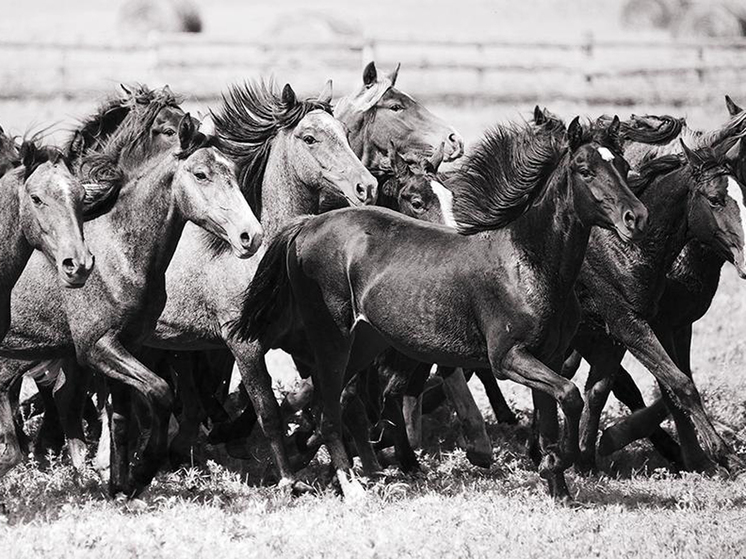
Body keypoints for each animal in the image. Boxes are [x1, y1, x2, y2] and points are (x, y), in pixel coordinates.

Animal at [0, 115, 264, 498]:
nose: (250, 236)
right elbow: (160, 393)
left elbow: (121, 419)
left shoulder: (128, 346)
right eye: (201, 174)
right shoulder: (99, 348)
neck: (120, 255)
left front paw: (120, 487)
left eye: (231, 169)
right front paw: (142, 472)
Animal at [232, 117, 644, 498]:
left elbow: (552, 420)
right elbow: (571, 396)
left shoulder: (549, 357)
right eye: (585, 170)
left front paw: (557, 485)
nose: (635, 217)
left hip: (364, 343)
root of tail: (307, 225)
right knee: (331, 412)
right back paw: (351, 487)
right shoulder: (508, 358)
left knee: (332, 404)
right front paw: (555, 464)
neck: (528, 262)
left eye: (623, 166)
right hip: (332, 341)